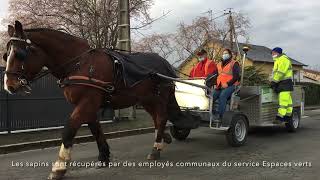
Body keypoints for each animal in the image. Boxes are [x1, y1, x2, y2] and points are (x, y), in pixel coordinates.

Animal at [3, 21, 180, 179]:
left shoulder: (87, 102)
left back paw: (155, 148)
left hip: (159, 98)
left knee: (161, 117)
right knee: (157, 119)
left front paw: (59, 166)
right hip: (147, 100)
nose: (9, 85)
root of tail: (164, 63)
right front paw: (104, 156)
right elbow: (96, 130)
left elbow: (69, 129)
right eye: (6, 55)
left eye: (19, 54)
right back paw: (162, 139)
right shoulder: (89, 105)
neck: (79, 64)